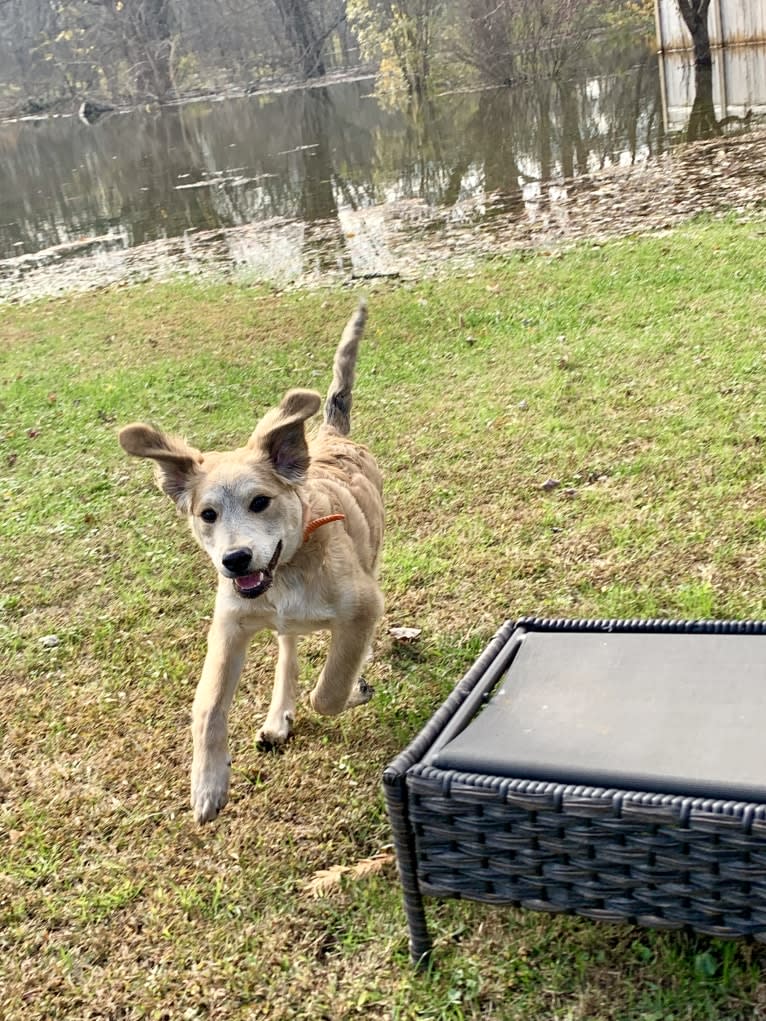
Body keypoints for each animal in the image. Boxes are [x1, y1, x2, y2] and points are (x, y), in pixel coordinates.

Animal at [120, 302, 386, 820]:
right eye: (207, 514)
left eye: (260, 502)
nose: (236, 560)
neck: (287, 574)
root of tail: (329, 435)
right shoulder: (229, 625)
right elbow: (207, 706)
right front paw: (208, 784)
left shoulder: (364, 606)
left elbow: (330, 689)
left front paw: (350, 692)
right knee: (288, 649)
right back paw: (278, 715)